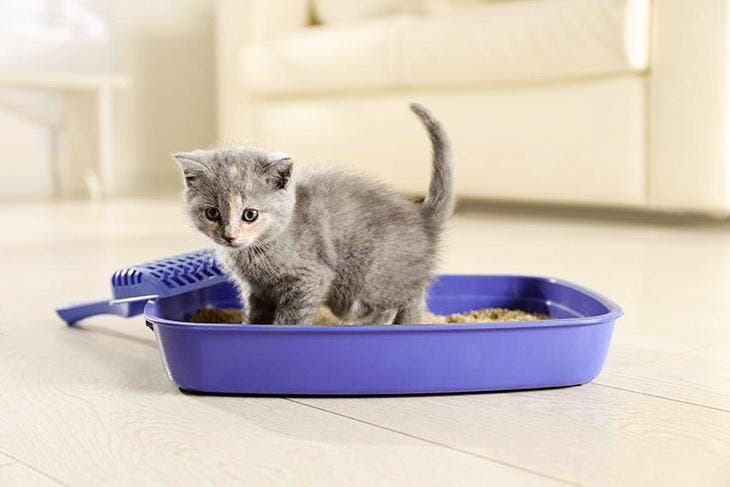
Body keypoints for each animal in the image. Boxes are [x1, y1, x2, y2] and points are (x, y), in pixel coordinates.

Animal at [173, 103, 452, 324]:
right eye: (212, 213)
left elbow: (291, 318)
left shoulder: (310, 277)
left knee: (403, 300)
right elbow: (256, 316)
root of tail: (422, 217)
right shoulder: (256, 290)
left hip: (367, 280)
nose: (229, 236)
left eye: (250, 215)